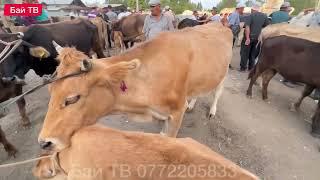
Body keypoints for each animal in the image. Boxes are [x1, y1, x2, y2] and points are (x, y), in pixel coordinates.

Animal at [38, 23, 232, 151]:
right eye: (50, 90)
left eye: (72, 98)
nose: (44, 142)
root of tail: (220, 24)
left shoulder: (177, 112)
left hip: (223, 74)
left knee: (217, 93)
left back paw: (212, 110)